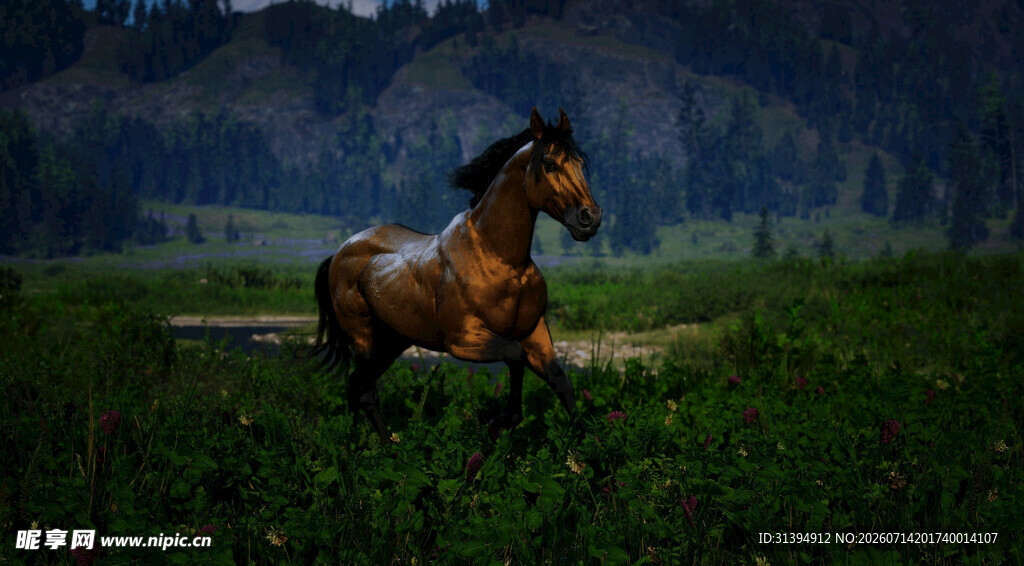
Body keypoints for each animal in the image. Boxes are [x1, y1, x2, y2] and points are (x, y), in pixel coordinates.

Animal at [313, 107, 602, 441]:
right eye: (550, 162)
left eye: (581, 163)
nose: (589, 218)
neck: (501, 260)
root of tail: (339, 253)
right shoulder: (463, 339)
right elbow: (514, 355)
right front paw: (498, 422)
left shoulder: (535, 333)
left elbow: (561, 382)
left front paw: (587, 446)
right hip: (364, 338)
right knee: (363, 389)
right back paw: (380, 445)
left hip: (392, 343)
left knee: (356, 386)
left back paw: (360, 443)